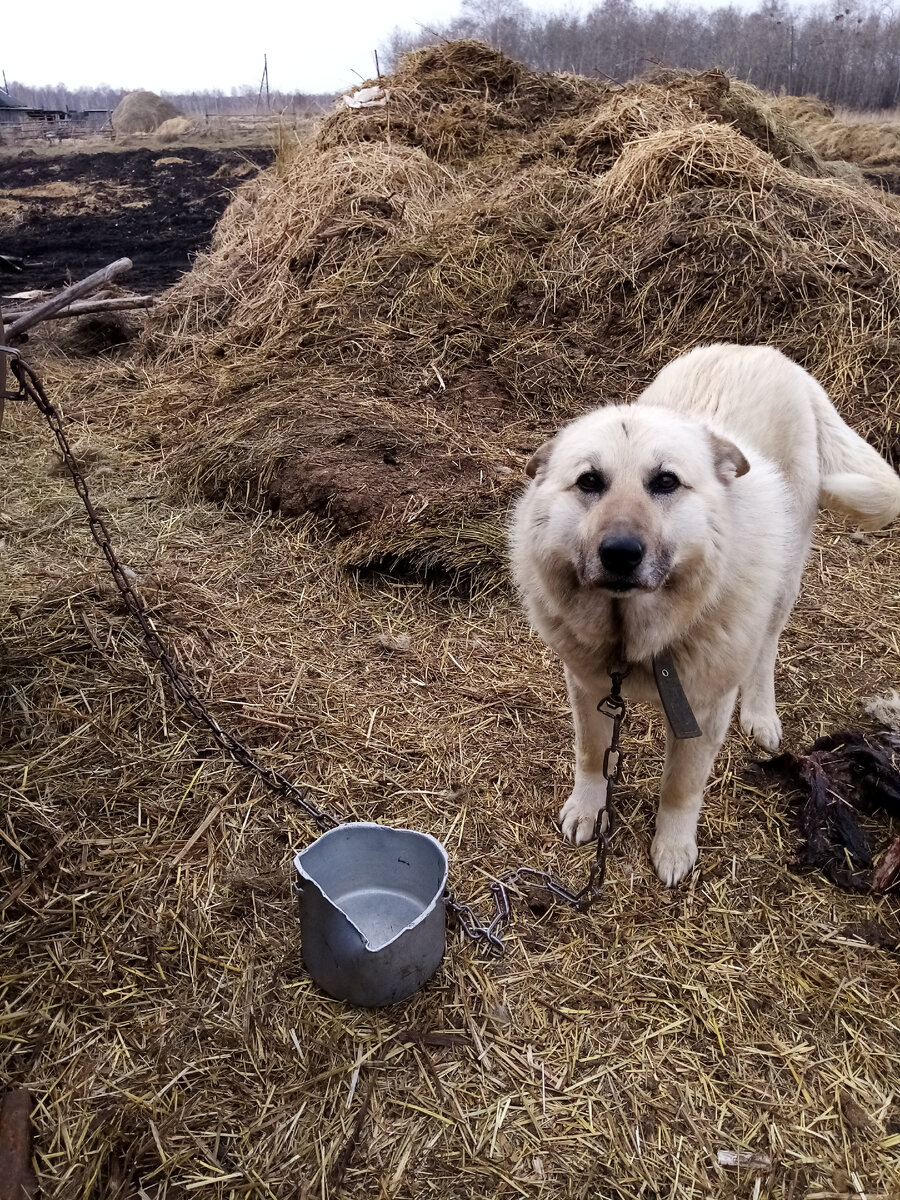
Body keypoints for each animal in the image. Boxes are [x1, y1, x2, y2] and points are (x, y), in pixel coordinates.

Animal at [511, 343, 900, 888]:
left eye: (666, 482)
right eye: (589, 482)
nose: (620, 553)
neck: (641, 637)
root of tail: (758, 351)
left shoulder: (705, 711)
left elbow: (680, 787)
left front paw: (672, 847)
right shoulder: (589, 689)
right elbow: (591, 756)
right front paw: (589, 810)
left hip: (783, 581)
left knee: (766, 647)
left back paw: (760, 714)